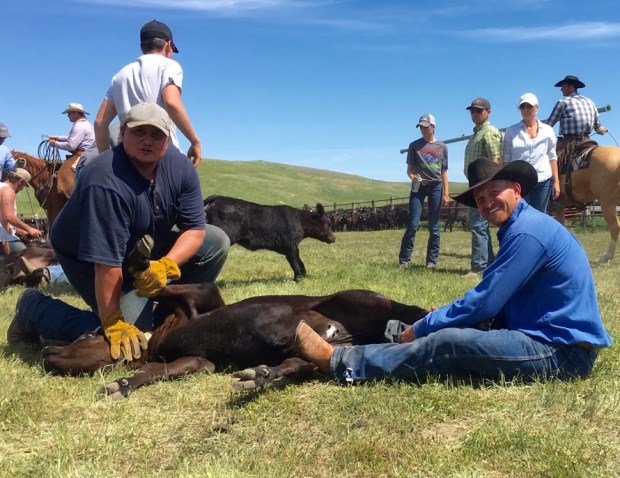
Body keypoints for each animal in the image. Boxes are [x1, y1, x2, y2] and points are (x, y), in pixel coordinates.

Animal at [204, 195, 335, 281]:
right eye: (327, 223)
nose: (333, 238)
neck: (300, 221)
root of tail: (219, 198)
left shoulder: (293, 247)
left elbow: (299, 260)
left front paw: (304, 276)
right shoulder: (290, 246)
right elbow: (294, 262)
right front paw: (298, 279)